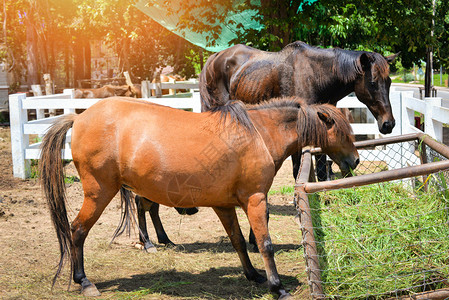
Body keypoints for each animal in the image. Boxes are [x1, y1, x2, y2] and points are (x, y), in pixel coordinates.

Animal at [40, 96, 358, 298]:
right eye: (343, 133)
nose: (355, 161)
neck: (257, 133)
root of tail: (79, 117)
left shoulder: (223, 205)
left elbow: (238, 241)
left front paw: (253, 275)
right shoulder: (255, 199)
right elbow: (265, 245)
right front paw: (277, 287)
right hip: (99, 192)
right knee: (77, 230)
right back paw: (84, 281)